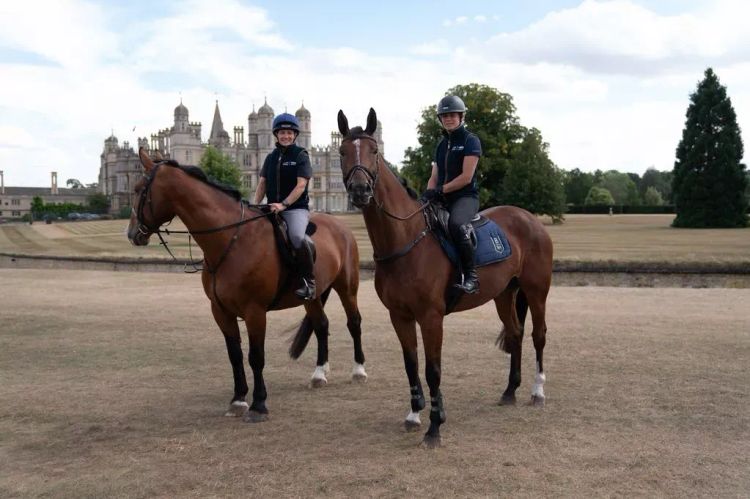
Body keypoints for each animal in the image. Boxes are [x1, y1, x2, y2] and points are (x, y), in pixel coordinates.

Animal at [127, 147, 367, 423]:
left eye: (139, 189)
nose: (132, 234)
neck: (231, 239)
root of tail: (340, 226)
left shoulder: (255, 312)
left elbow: (256, 357)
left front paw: (259, 404)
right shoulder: (221, 311)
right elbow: (235, 355)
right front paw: (239, 399)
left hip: (347, 287)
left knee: (354, 322)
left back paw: (359, 370)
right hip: (313, 296)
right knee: (321, 325)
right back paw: (319, 374)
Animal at [336, 109, 554, 447]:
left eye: (373, 151)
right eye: (343, 152)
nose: (360, 190)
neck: (405, 239)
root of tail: (529, 218)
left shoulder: (430, 316)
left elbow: (433, 369)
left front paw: (435, 426)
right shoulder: (400, 316)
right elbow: (411, 364)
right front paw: (414, 413)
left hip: (536, 290)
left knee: (538, 335)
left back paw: (537, 390)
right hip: (504, 293)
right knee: (516, 333)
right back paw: (509, 391)